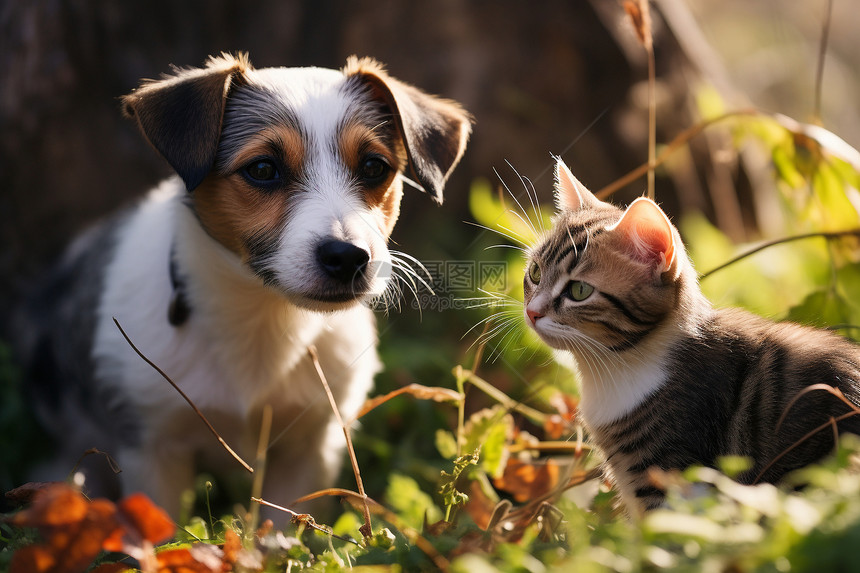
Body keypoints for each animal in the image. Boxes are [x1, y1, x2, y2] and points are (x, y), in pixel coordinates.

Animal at [16, 54, 470, 520]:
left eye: (374, 167)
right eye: (263, 169)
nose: (348, 257)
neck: (263, 315)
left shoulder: (310, 445)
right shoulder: (153, 445)